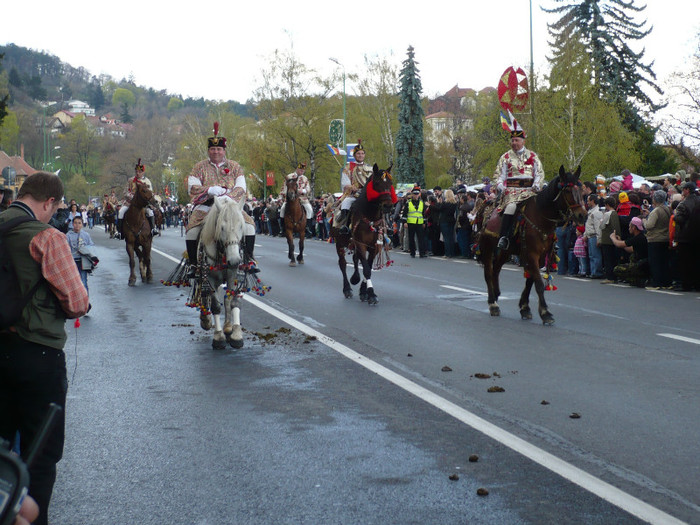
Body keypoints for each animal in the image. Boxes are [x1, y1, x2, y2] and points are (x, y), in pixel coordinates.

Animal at [198, 194, 247, 350]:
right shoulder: (210, 279)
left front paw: (235, 333)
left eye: (241, 226)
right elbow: (215, 306)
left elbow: (232, 301)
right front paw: (218, 336)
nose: (235, 260)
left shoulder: (233, 275)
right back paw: (206, 320)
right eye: (222, 227)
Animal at [330, 163, 396, 302]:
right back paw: (347, 289)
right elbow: (366, 269)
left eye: (390, 183)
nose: (388, 206)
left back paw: (355, 278)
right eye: (376, 183)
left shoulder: (374, 246)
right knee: (343, 264)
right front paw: (371, 294)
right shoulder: (360, 243)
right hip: (339, 243)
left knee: (355, 259)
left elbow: (368, 266)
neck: (369, 215)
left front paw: (364, 292)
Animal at [478, 166, 588, 324]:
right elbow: (539, 284)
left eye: (581, 190)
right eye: (567, 190)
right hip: (487, 247)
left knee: (496, 271)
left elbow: (531, 281)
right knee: (488, 273)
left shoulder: (540, 256)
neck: (541, 217)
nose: (582, 215)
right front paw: (545, 312)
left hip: (505, 251)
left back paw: (497, 295)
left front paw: (525, 307)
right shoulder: (532, 254)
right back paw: (493, 303)